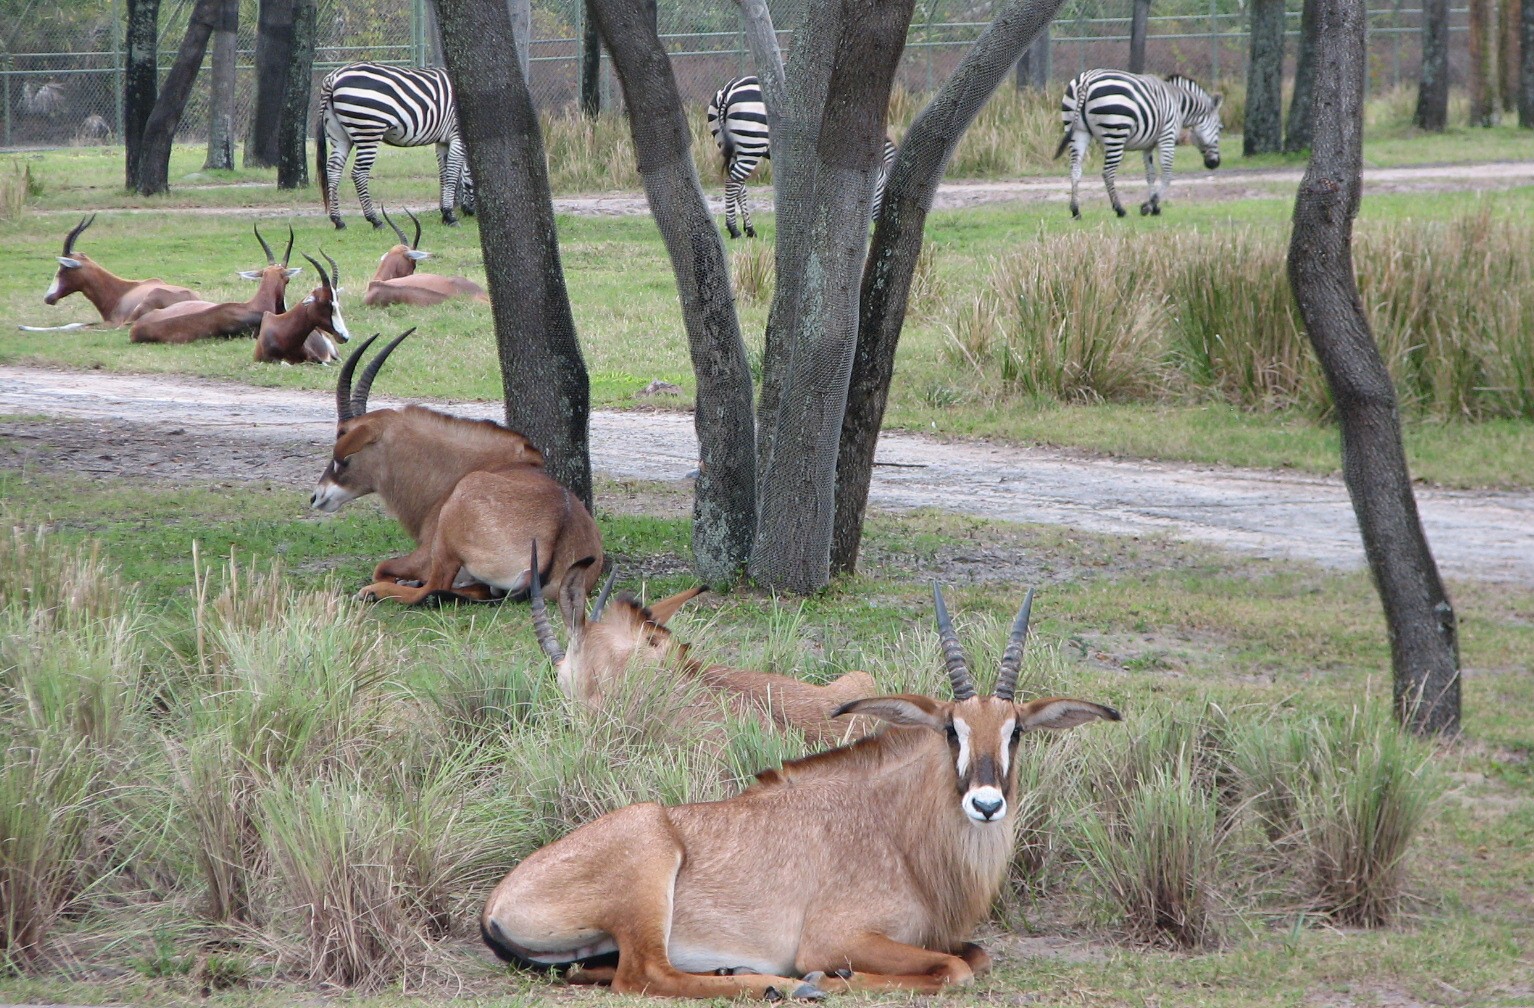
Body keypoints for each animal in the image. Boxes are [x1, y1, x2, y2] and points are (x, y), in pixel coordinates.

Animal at [310, 330, 603, 609]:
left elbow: (382, 567)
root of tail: (557, 531)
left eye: (344, 455)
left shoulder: (425, 553)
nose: (317, 496)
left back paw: (374, 592)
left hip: (448, 537)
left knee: (433, 588)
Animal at [316, 62, 475, 230]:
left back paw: (337, 220)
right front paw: (450, 216)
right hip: (368, 131)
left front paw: (444, 213)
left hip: (339, 136)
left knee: (333, 170)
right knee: (359, 173)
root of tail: (333, 77)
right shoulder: (457, 134)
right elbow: (452, 174)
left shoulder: (442, 141)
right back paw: (375, 220)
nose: (471, 212)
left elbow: (443, 175)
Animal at [482, 584, 1120, 1000]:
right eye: (950, 729)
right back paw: (779, 986)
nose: (986, 804)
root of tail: (497, 901)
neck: (897, 833)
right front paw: (836, 978)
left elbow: (976, 956)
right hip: (647, 869)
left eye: (1017, 732)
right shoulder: (836, 936)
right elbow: (952, 969)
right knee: (645, 975)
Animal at [706, 75, 898, 239]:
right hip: (751, 143)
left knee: (740, 185)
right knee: (733, 183)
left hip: (729, 143)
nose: (880, 230)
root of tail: (729, 89)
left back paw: (750, 229)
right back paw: (734, 230)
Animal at [1053, 70, 1222, 219]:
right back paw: (1119, 209)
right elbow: (1167, 173)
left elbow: (1150, 174)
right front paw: (1148, 206)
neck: (1179, 104)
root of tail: (1086, 80)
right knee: (1108, 172)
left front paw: (1155, 207)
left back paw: (1076, 210)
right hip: (1116, 132)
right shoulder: (1167, 135)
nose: (1215, 163)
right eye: (1220, 128)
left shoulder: (1148, 146)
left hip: (1077, 131)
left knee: (1075, 169)